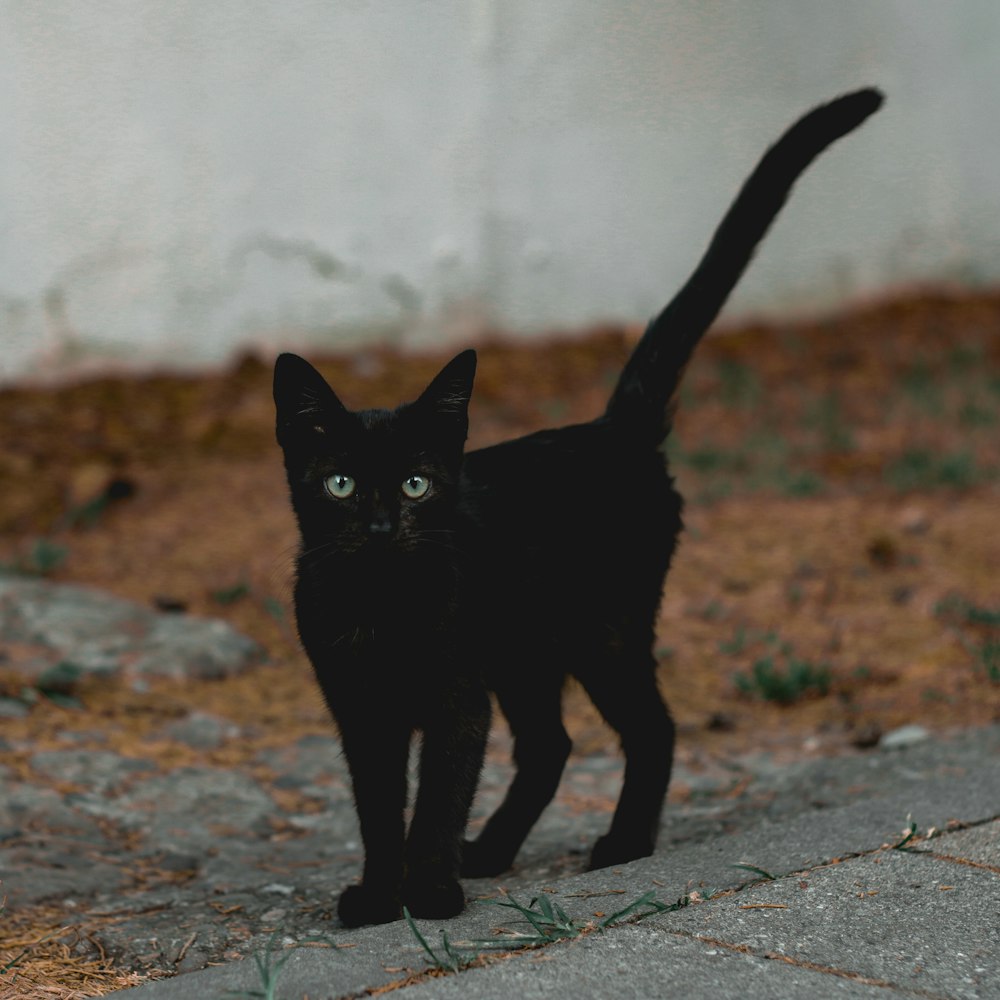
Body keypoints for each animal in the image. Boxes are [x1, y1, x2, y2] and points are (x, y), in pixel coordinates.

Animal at [272, 88, 884, 928]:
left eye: (415, 485)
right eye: (340, 485)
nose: (380, 525)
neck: (383, 599)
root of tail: (612, 429)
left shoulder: (455, 695)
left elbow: (438, 795)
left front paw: (429, 893)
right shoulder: (359, 707)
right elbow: (376, 806)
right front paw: (377, 895)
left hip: (603, 629)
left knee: (650, 727)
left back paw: (622, 844)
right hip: (524, 648)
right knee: (550, 744)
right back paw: (492, 852)